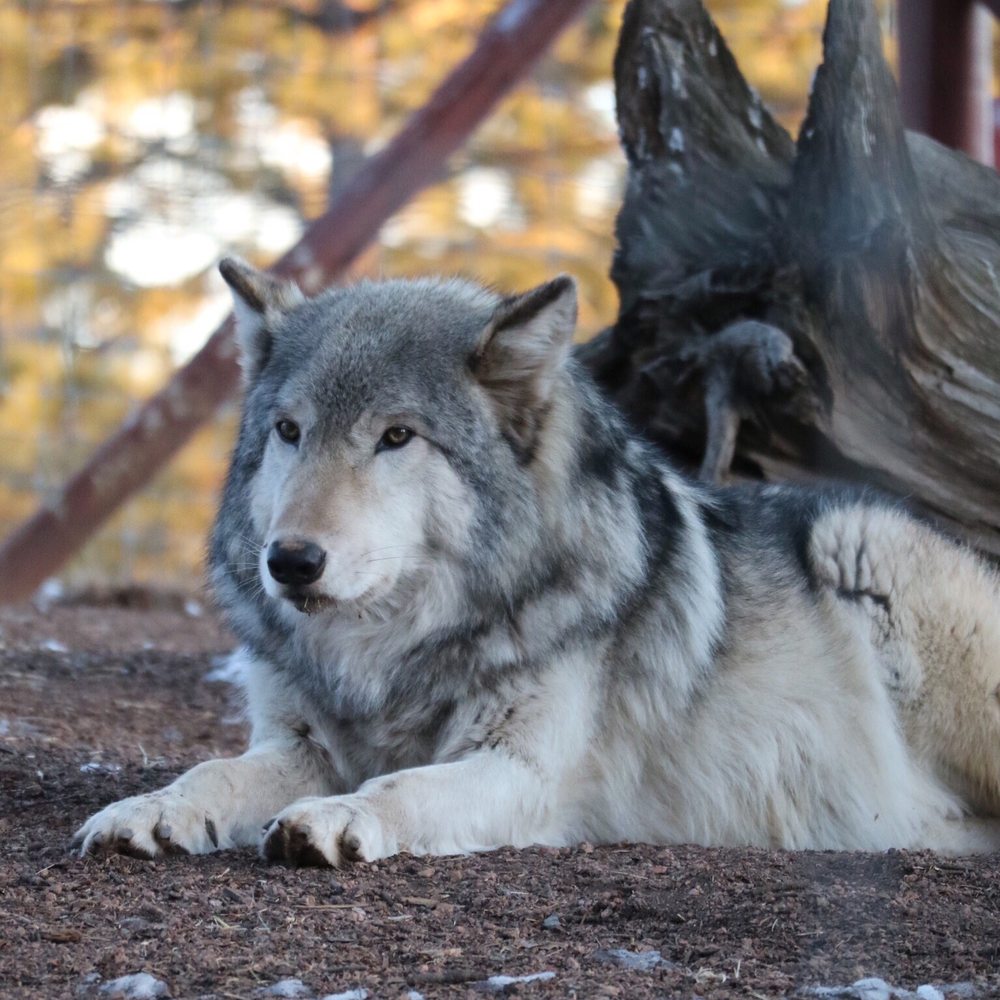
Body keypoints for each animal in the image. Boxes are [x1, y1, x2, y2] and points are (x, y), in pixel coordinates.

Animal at [74, 260, 1000, 864]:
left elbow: (400, 787)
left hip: (867, 546)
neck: (388, 658)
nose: (291, 561)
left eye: (396, 437)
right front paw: (148, 811)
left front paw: (331, 821)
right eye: (289, 431)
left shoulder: (521, 771)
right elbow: (211, 772)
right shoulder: (295, 743)